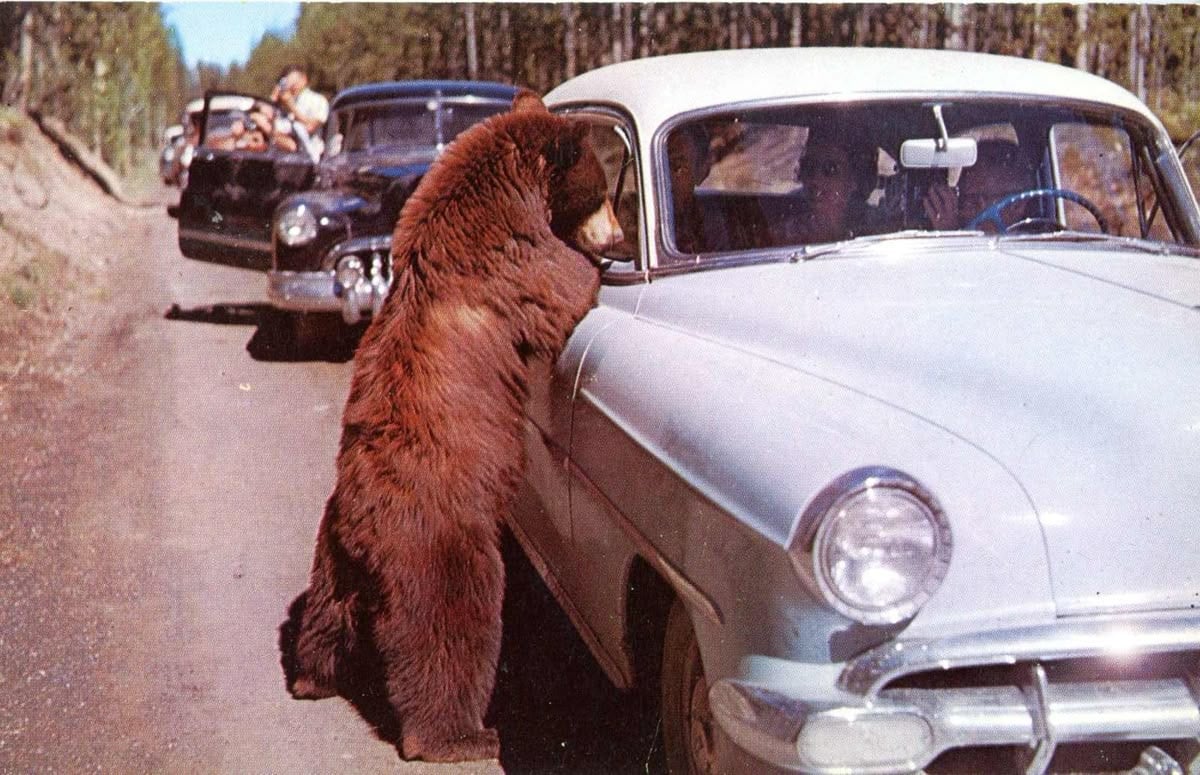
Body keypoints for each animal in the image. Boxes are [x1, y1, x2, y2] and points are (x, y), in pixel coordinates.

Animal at [284, 89, 623, 763]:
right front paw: (594, 266)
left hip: (329, 560)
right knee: (452, 638)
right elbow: (564, 284)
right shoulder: (513, 262)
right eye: (600, 190)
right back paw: (462, 734)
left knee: (325, 621)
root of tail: (364, 536)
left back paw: (312, 676)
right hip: (445, 552)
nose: (620, 233)